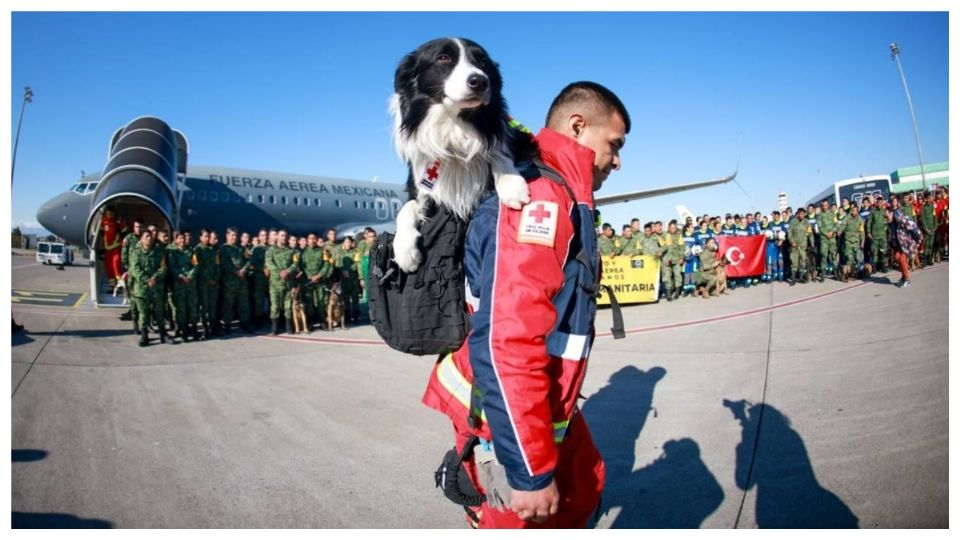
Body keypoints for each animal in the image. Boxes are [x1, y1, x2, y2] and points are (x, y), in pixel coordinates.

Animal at [390, 37, 540, 274]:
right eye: (443, 58)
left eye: (483, 62)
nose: (480, 81)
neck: (454, 125)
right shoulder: (418, 182)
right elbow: (406, 208)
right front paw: (405, 250)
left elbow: (498, 150)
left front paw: (511, 185)